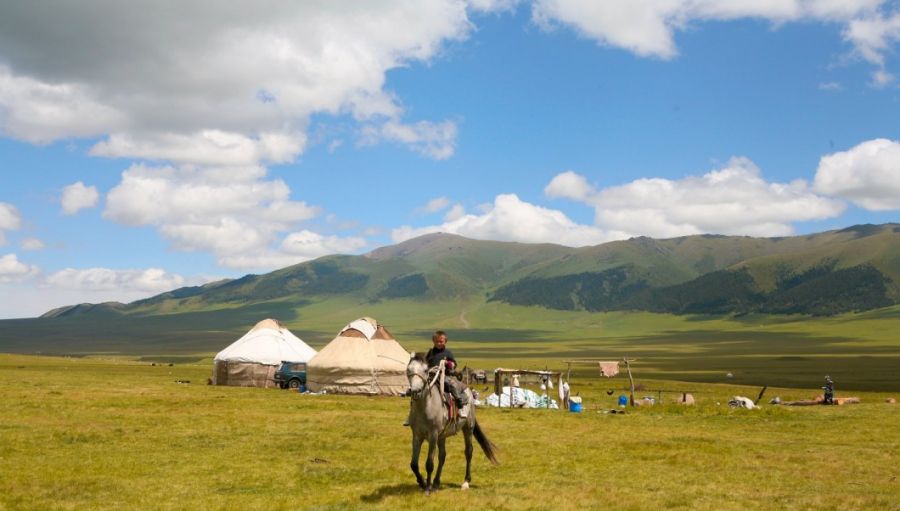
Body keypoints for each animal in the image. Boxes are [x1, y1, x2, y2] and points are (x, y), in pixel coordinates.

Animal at [408, 354, 500, 494]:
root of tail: (469, 391)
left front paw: (427, 488)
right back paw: (436, 483)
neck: (425, 407)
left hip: (468, 427)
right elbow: (413, 464)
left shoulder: (433, 435)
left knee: (469, 451)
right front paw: (422, 482)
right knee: (442, 456)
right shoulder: (417, 435)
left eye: (425, 370)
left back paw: (466, 482)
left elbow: (429, 463)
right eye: (408, 370)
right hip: (442, 435)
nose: (415, 391)